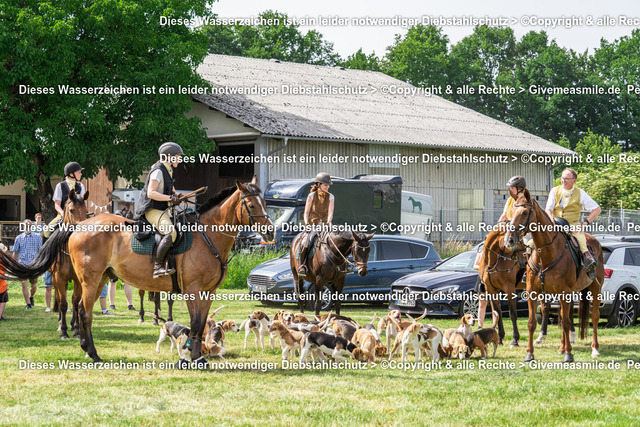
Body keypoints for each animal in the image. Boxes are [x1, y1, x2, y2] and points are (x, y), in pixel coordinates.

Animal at [0, 179, 272, 366]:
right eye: (250, 204)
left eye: (265, 202)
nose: (270, 231)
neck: (208, 236)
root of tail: (79, 226)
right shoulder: (193, 290)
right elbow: (195, 323)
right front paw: (189, 357)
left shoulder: (208, 292)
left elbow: (201, 323)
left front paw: (197, 357)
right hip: (88, 279)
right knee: (82, 312)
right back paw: (92, 352)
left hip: (99, 279)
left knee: (80, 308)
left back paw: (87, 348)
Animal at [502, 189, 604, 362]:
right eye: (512, 211)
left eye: (524, 212)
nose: (509, 240)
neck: (546, 252)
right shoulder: (533, 292)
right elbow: (532, 323)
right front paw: (529, 353)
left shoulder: (564, 292)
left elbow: (568, 323)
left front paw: (569, 355)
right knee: (563, 317)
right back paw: (562, 347)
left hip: (595, 289)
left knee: (594, 317)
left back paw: (595, 349)